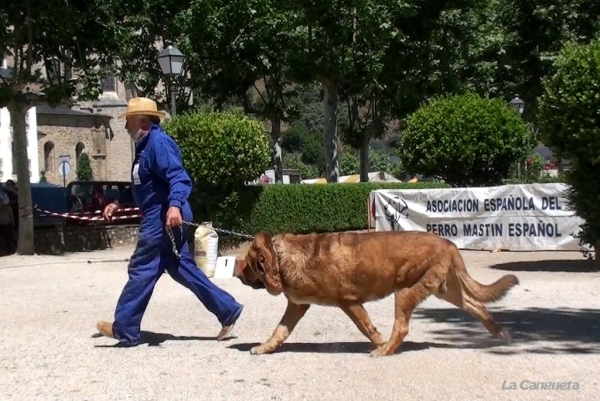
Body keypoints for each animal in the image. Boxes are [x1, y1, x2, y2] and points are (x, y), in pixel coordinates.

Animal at [237, 228, 516, 356]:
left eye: (249, 264)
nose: (237, 274)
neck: (282, 257)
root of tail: (448, 243)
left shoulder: (349, 302)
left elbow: (366, 327)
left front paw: (379, 342)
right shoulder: (297, 305)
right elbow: (279, 331)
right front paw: (264, 348)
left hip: (405, 292)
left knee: (401, 327)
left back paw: (384, 351)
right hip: (447, 291)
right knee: (477, 306)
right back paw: (500, 334)